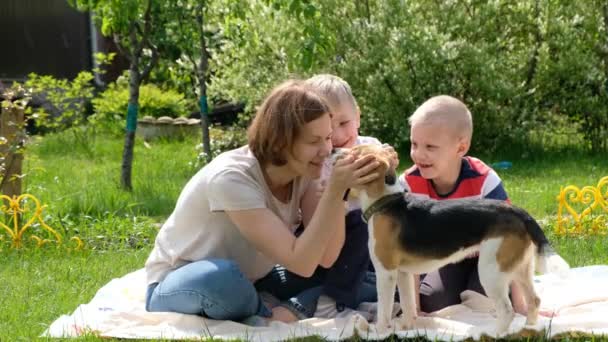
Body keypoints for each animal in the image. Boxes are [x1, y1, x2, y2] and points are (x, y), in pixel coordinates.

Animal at [338, 144, 568, 334]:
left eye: (354, 151)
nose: (335, 151)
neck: (386, 202)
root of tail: (519, 212)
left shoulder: (385, 272)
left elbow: (384, 310)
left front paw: (378, 332)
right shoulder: (403, 273)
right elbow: (408, 305)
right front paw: (406, 328)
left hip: (491, 271)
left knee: (507, 310)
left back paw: (494, 334)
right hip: (520, 268)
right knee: (534, 300)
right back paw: (529, 329)